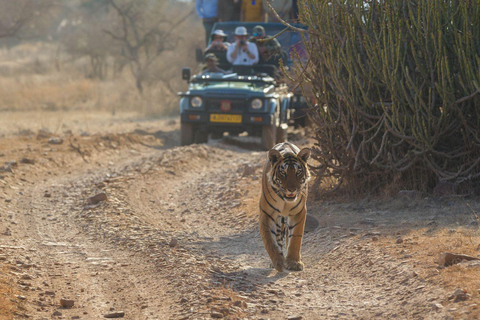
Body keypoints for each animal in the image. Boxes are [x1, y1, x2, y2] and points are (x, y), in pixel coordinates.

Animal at [258, 141, 312, 272]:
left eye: (298, 172)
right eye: (283, 173)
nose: (292, 189)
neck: (285, 201)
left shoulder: (299, 212)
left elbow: (295, 239)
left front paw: (294, 262)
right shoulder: (267, 214)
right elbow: (269, 240)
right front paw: (278, 262)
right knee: (278, 238)